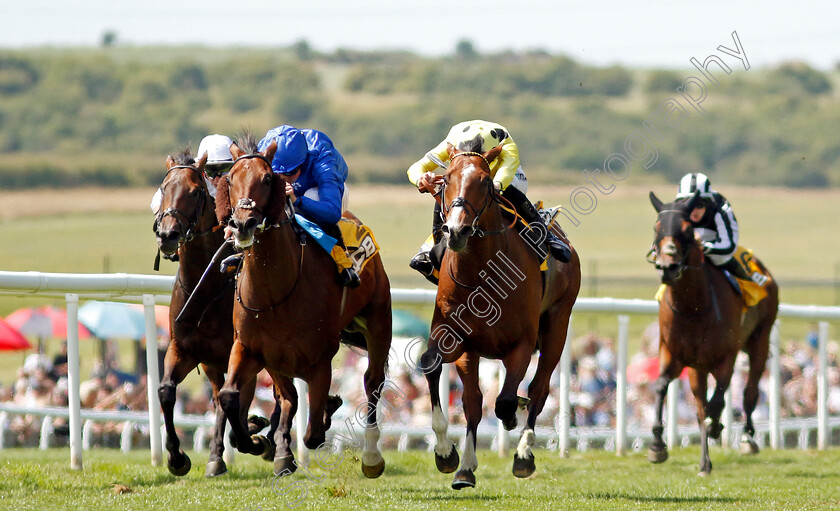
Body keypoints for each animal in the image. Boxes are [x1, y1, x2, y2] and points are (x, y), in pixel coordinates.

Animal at [156, 150, 274, 478]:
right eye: (163, 188)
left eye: (195, 192)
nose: (168, 235)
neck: (205, 288)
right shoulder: (184, 349)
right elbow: (166, 391)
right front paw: (176, 457)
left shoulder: (241, 353)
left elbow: (232, 404)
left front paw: (254, 438)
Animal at [213, 134, 390, 478]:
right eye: (231, 178)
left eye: (268, 179)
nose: (242, 224)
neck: (274, 294)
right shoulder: (251, 348)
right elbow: (230, 396)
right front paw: (259, 441)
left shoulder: (321, 360)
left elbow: (314, 434)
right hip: (277, 360)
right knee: (288, 397)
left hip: (378, 322)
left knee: (372, 381)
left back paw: (371, 457)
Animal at [418, 146, 580, 490]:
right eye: (445, 179)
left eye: (484, 181)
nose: (457, 230)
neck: (481, 273)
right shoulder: (456, 339)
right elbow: (435, 368)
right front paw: (446, 454)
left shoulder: (521, 344)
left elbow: (505, 400)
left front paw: (513, 421)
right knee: (475, 401)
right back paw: (466, 466)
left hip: (558, 323)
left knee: (538, 389)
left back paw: (523, 453)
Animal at [648, 192, 780, 476]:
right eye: (656, 227)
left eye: (687, 230)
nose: (668, 266)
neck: (694, 308)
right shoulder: (673, 354)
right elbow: (662, 387)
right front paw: (657, 446)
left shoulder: (725, 358)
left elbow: (718, 401)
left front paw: (718, 426)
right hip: (697, 367)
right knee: (701, 407)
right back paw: (705, 463)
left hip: (760, 340)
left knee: (749, 392)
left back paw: (747, 439)